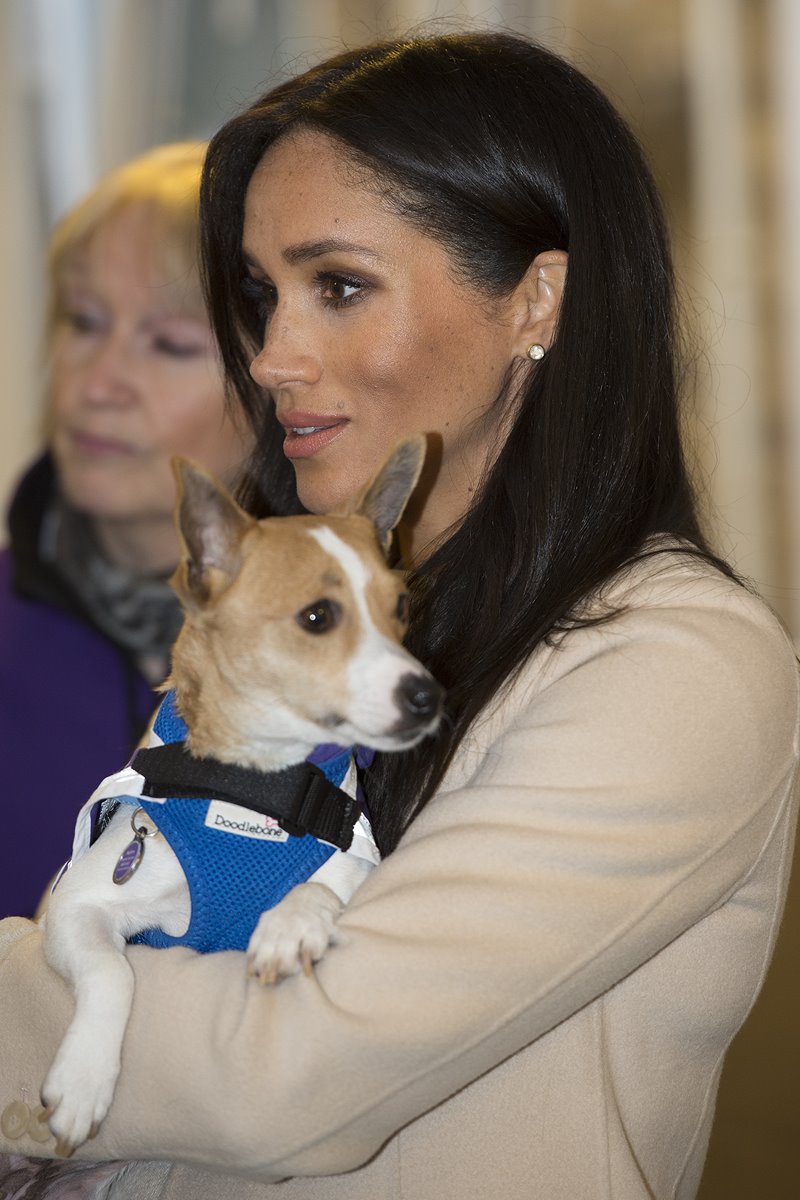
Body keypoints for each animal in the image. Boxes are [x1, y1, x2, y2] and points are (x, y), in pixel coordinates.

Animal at [40, 436, 441, 1156]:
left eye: (400, 609)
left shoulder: (361, 861)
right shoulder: (76, 907)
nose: (428, 696)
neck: (261, 788)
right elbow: (114, 972)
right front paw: (83, 1080)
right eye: (318, 617)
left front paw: (288, 924)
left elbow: (324, 882)